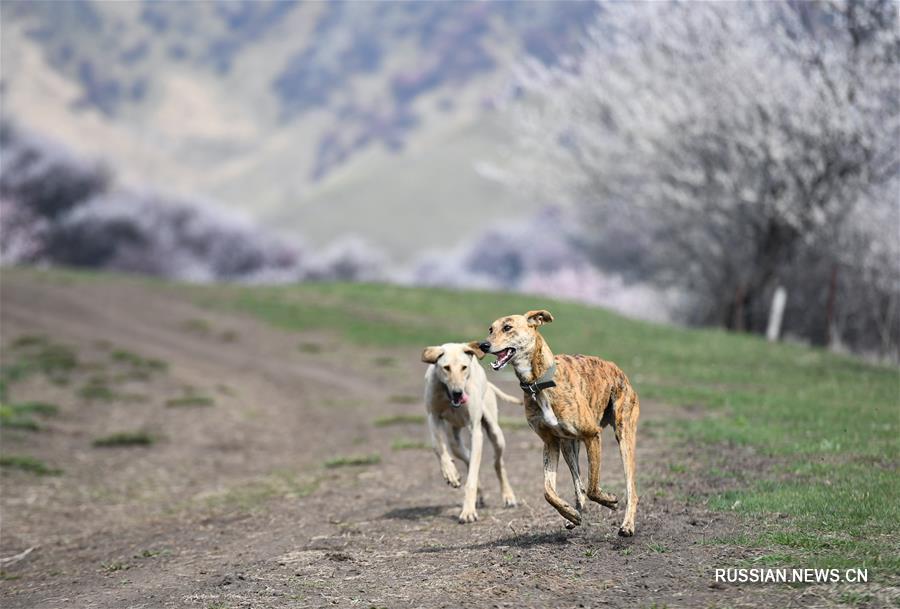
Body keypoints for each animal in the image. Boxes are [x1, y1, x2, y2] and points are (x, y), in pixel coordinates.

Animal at [422, 342, 520, 524]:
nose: (458, 392)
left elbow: (472, 476)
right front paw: (451, 474)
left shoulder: (475, 430)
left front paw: (468, 511)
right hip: (455, 438)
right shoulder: (433, 417)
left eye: (464, 367)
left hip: (495, 433)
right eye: (446, 368)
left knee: (498, 464)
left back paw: (508, 496)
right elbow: (438, 447)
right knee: (463, 454)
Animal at [478, 312, 640, 536]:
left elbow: (593, 486)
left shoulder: (592, 435)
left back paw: (627, 525)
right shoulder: (551, 443)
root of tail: (618, 369)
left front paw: (610, 500)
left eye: (508, 328)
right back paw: (574, 514)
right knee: (578, 484)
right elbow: (548, 491)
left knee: (630, 488)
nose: (483, 345)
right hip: (569, 445)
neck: (539, 382)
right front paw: (569, 512)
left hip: (624, 437)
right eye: (491, 329)